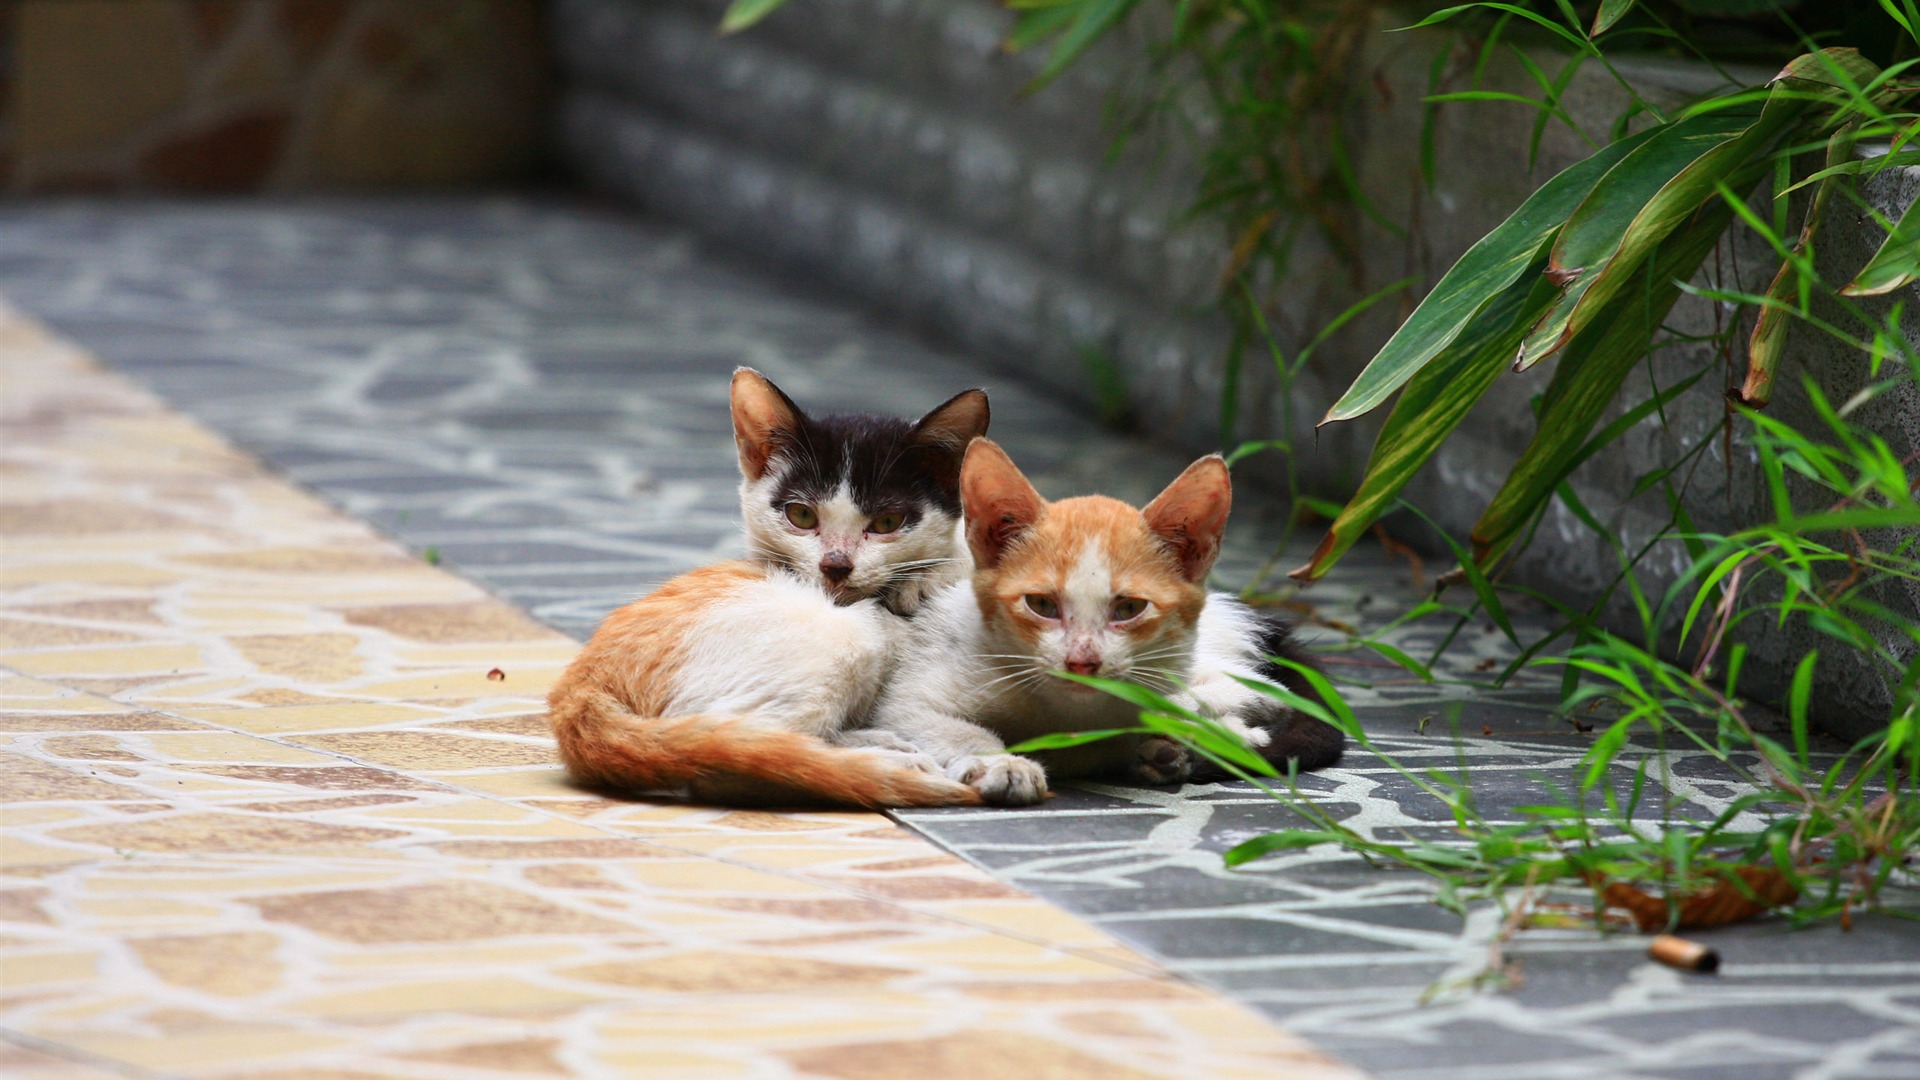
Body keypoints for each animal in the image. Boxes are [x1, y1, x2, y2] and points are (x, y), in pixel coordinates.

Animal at [545, 365, 983, 803]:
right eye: (801, 515)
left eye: (887, 522)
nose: (835, 565)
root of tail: (581, 685)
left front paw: (930, 574)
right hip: (844, 636)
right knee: (733, 748)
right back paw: (885, 758)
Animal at [875, 434, 1351, 799]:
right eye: (1041, 605)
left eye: (1129, 608)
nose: (1082, 662)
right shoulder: (913, 694)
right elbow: (931, 720)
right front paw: (1001, 763)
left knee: (1259, 688)